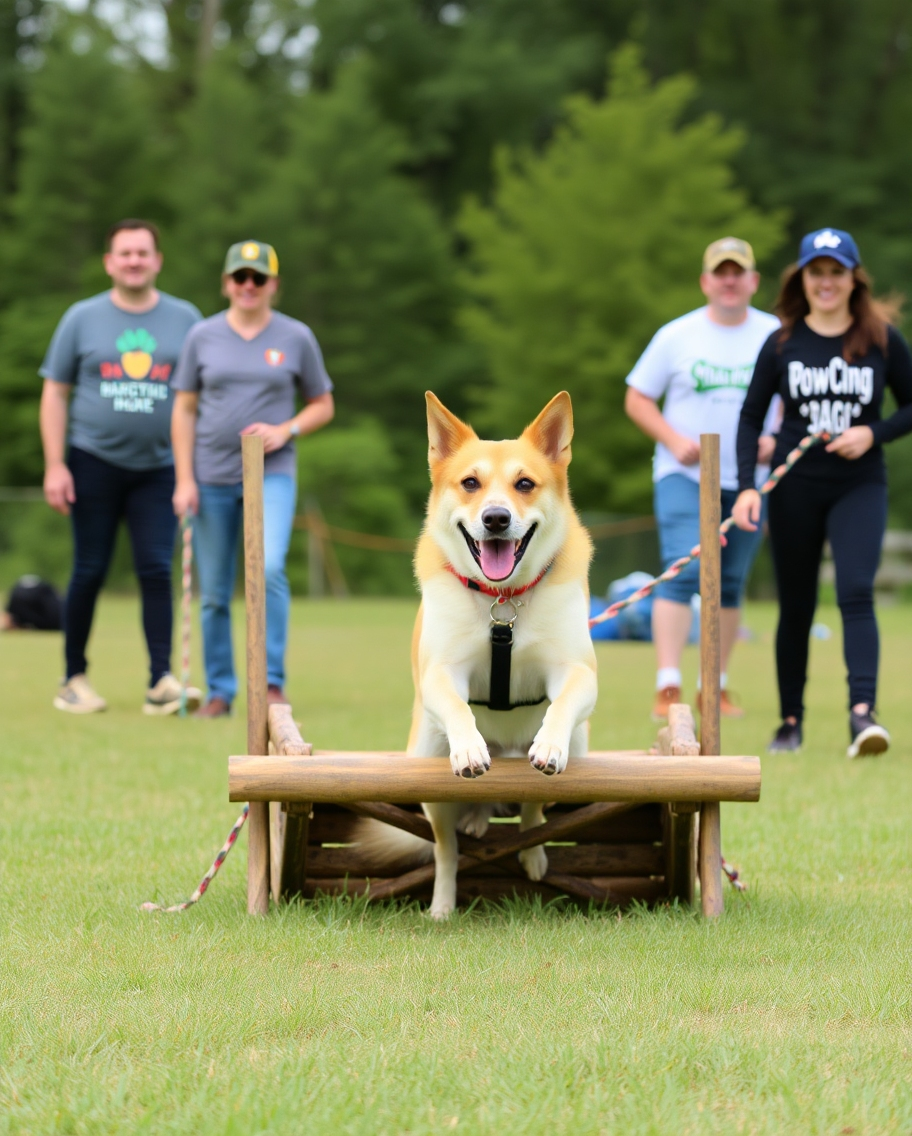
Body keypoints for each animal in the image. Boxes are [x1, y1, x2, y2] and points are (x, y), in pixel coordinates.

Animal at [402, 395, 595, 917]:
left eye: (524, 484)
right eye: (470, 482)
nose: (495, 519)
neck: (503, 599)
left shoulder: (577, 670)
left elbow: (562, 702)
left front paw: (548, 745)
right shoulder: (442, 671)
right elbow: (456, 704)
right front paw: (470, 747)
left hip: (582, 747)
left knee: (532, 812)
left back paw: (532, 854)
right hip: (428, 775)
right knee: (447, 849)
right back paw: (444, 901)